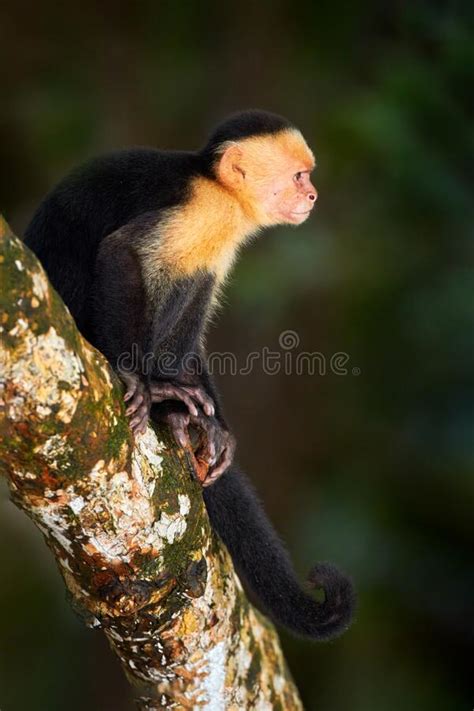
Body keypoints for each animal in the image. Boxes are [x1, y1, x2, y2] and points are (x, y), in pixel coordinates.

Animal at [24, 110, 354, 640]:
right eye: (300, 176)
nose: (313, 197)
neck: (217, 186)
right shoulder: (203, 209)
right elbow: (121, 252)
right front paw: (139, 383)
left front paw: (215, 427)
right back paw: (164, 402)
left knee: (194, 281)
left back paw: (181, 414)